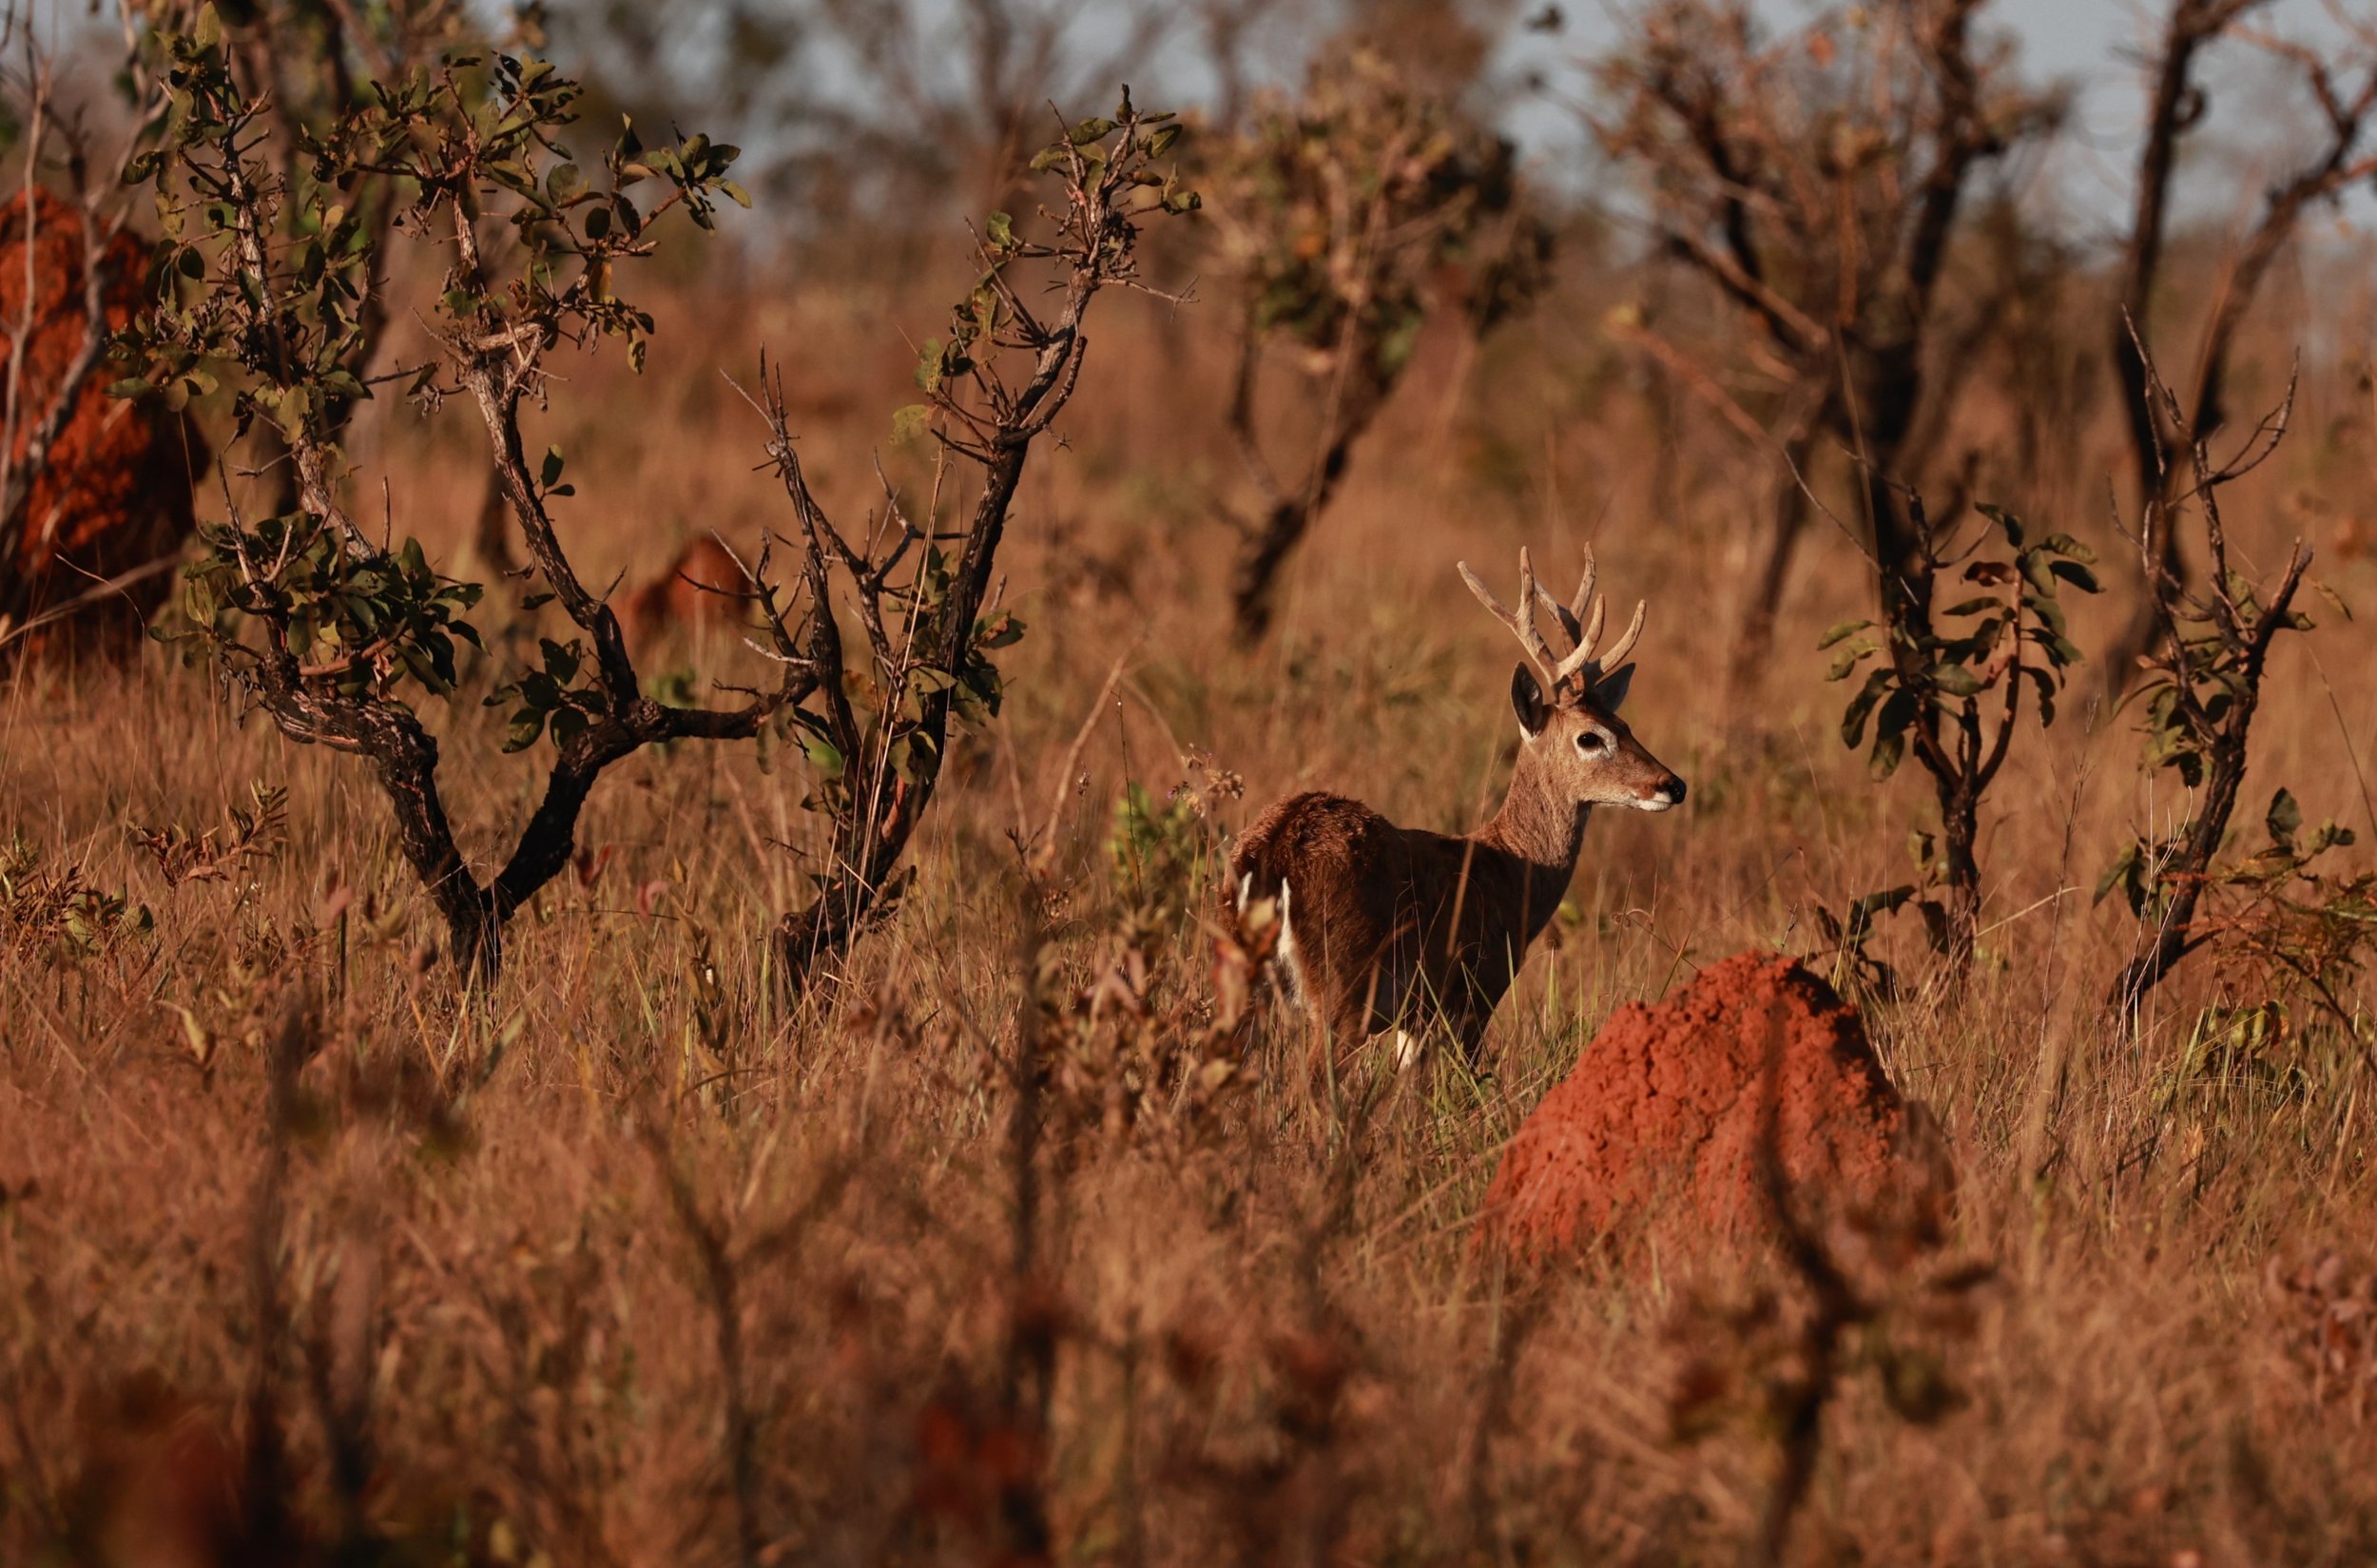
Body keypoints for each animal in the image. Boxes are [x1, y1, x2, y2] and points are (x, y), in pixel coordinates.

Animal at [1228, 547, 1685, 1065]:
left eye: (1625, 724)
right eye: (1590, 737)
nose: (1673, 785)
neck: (1511, 869)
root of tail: (1274, 853)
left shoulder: (1417, 1018)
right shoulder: (1471, 995)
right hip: (1343, 991)